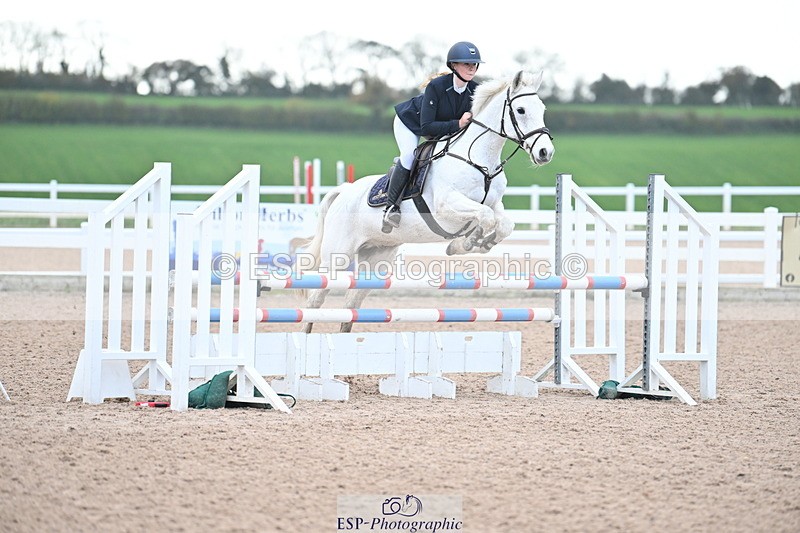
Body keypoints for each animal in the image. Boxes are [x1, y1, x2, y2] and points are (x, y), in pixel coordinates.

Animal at [296, 70, 555, 333]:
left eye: (542, 108)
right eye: (521, 110)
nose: (546, 153)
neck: (478, 159)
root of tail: (344, 191)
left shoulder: (494, 204)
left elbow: (503, 224)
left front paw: (474, 244)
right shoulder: (445, 206)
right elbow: (485, 216)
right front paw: (467, 242)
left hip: (377, 257)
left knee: (351, 303)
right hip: (338, 255)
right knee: (315, 299)